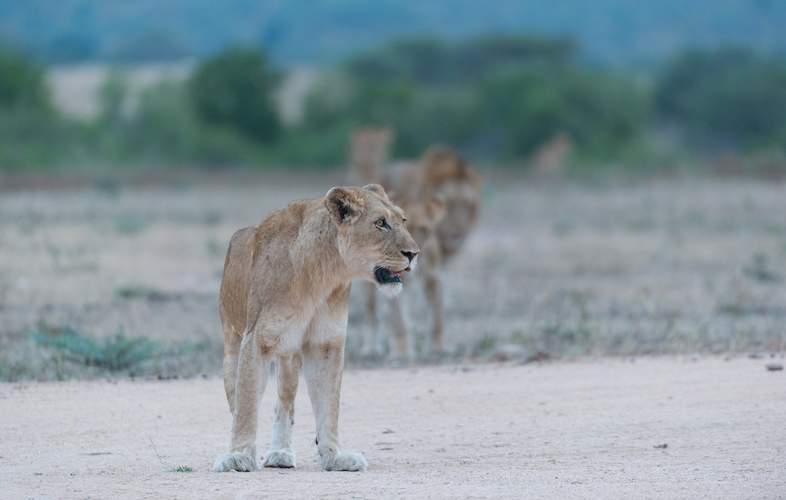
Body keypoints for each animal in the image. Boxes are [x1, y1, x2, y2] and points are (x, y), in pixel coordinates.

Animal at [208, 184, 416, 472]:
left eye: (403, 221)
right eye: (380, 223)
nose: (414, 254)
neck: (324, 275)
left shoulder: (326, 344)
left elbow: (329, 404)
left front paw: (334, 457)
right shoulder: (256, 340)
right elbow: (246, 404)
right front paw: (238, 456)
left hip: (289, 356)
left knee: (284, 403)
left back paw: (281, 453)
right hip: (232, 345)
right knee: (237, 400)